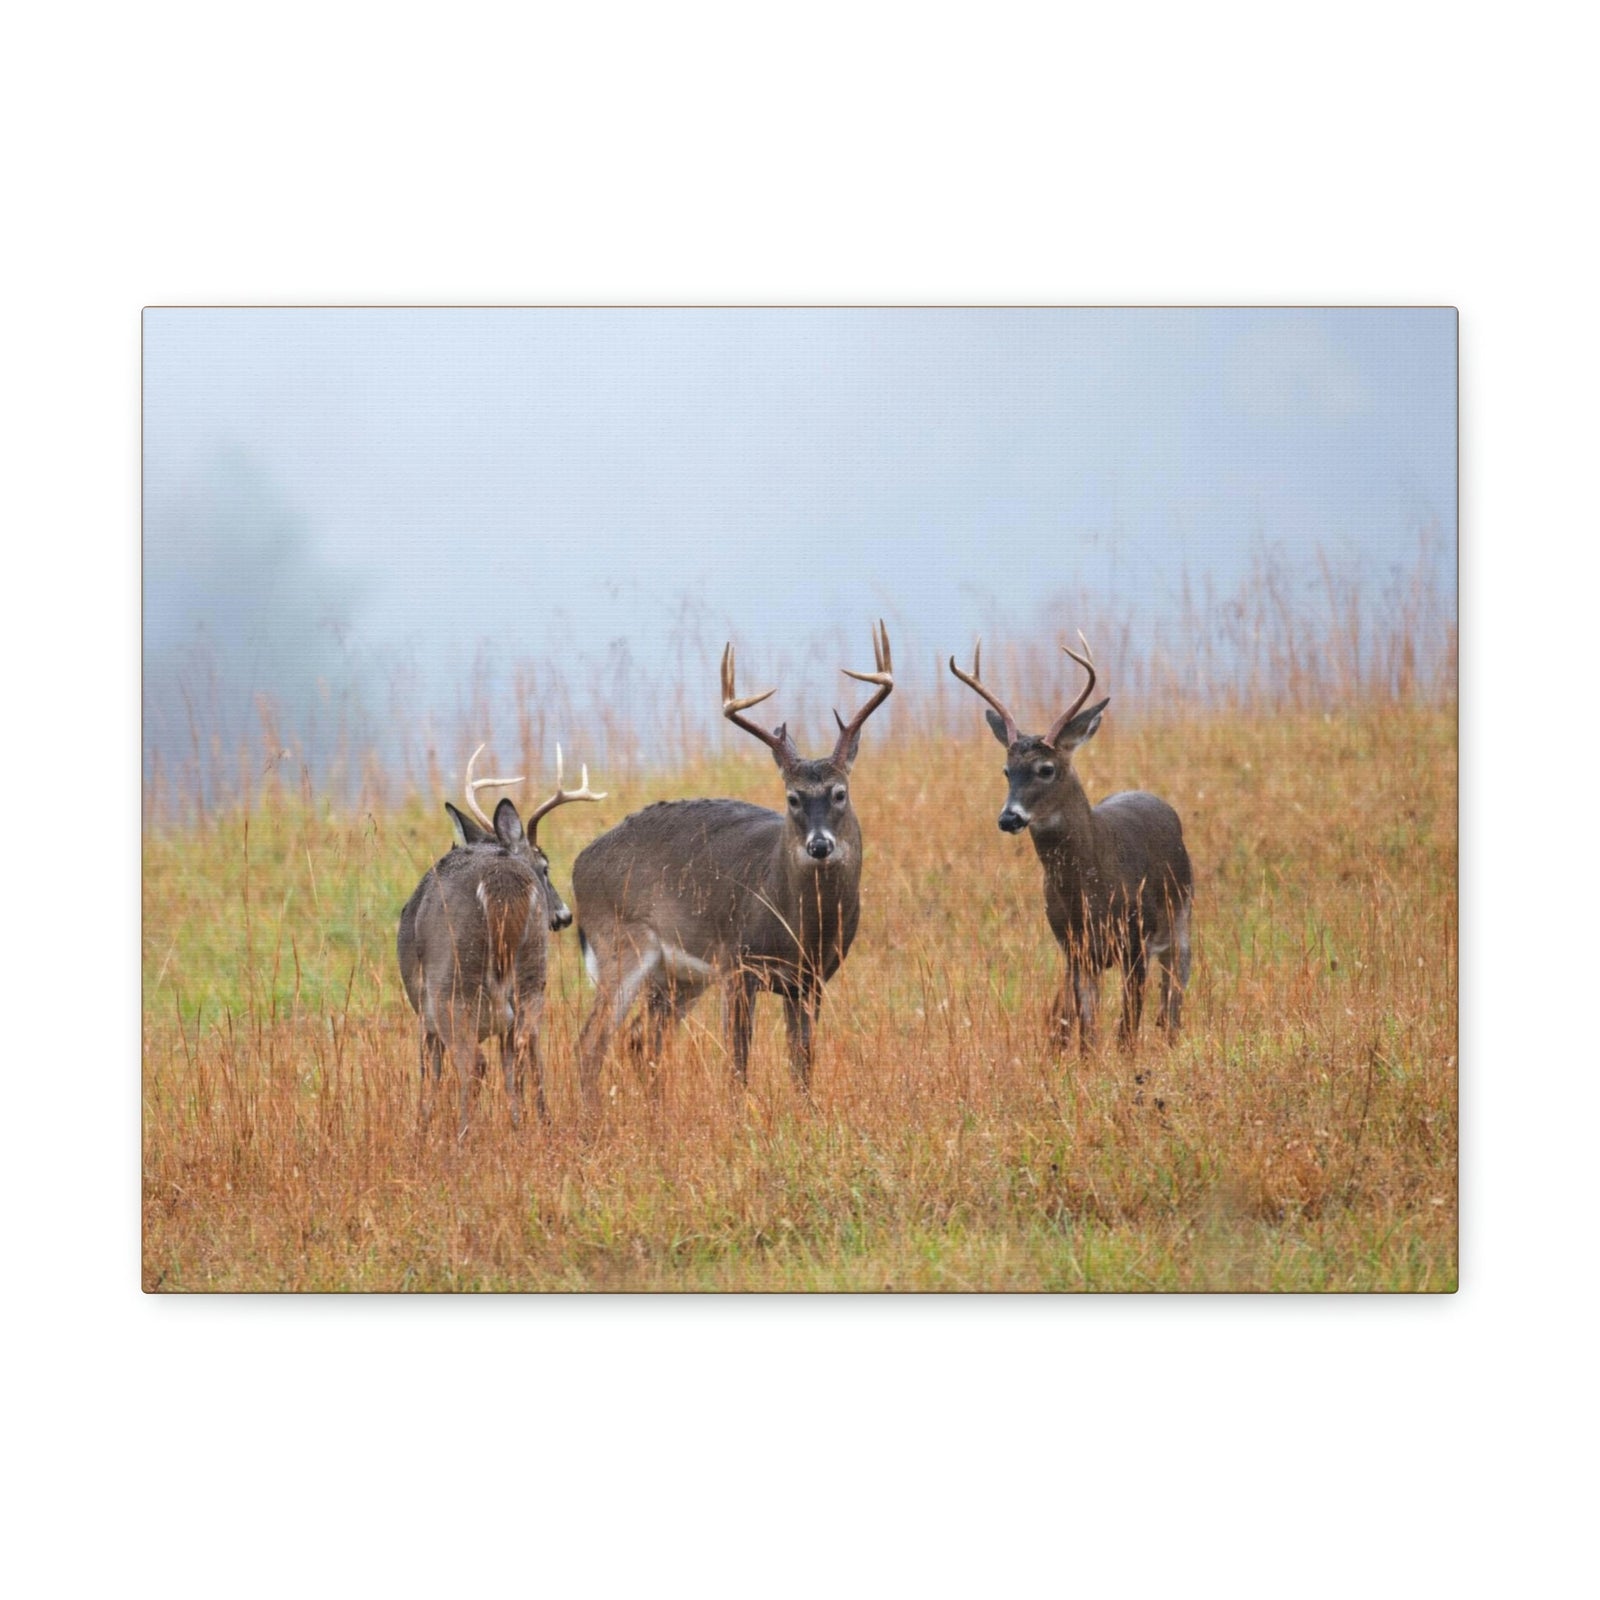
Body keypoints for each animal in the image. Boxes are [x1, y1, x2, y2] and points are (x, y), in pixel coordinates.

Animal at [397, 745, 604, 1137]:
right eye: (545, 867)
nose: (565, 916)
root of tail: (499, 880)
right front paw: (523, 1123)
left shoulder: (421, 1010)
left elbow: (429, 1074)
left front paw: (420, 1133)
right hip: (532, 972)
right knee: (524, 1045)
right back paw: (531, 1128)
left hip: (452, 982)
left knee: (475, 1064)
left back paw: (462, 1139)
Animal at [570, 621, 894, 1106]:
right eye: (792, 797)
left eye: (840, 793)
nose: (820, 846)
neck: (800, 925)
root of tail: (578, 864)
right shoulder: (739, 965)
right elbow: (738, 1060)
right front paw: (740, 1114)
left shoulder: (811, 979)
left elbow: (802, 1060)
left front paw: (807, 1111)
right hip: (622, 945)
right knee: (592, 1041)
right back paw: (591, 1116)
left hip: (678, 978)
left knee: (640, 1039)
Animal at [949, 633, 1192, 1052]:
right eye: (1006, 771)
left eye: (1046, 769)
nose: (1009, 818)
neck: (1092, 891)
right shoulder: (1074, 948)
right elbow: (1088, 1030)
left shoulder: (1136, 939)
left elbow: (1127, 1028)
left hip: (1182, 923)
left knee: (1173, 999)